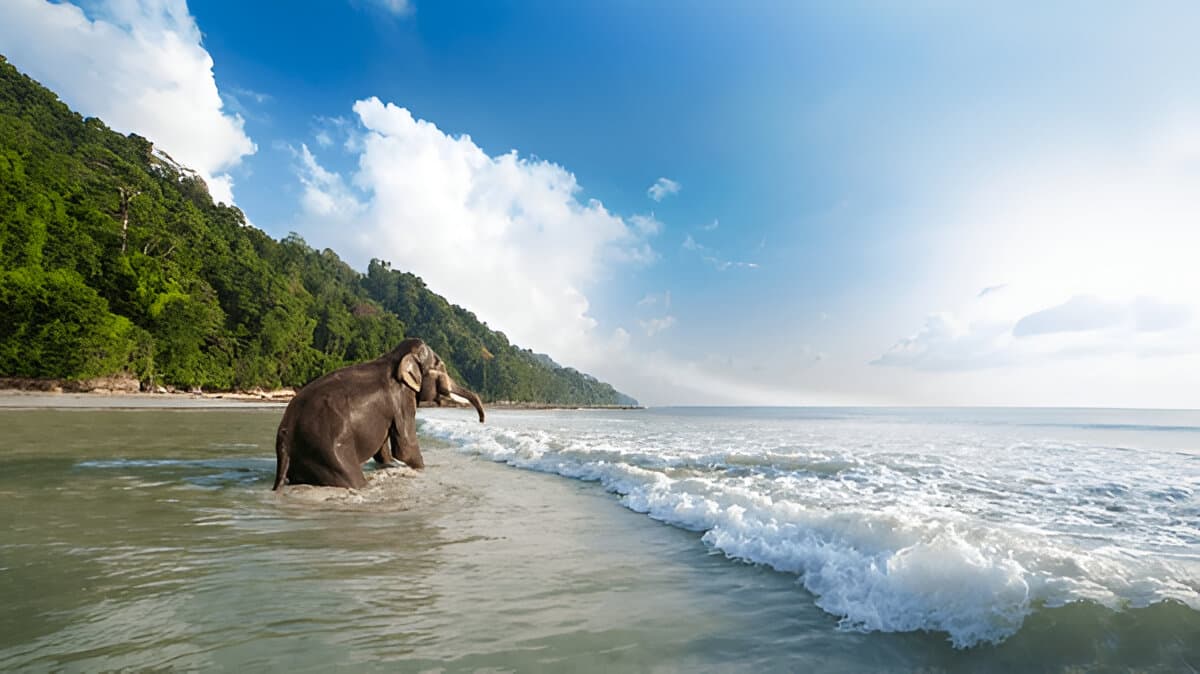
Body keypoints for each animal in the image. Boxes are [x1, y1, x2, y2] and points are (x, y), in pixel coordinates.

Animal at [272, 338, 485, 490]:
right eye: (440, 366)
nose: (482, 421)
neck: (393, 357)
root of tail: (286, 435)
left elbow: (384, 449)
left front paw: (391, 465)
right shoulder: (401, 399)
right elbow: (405, 448)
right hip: (329, 451)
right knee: (352, 480)